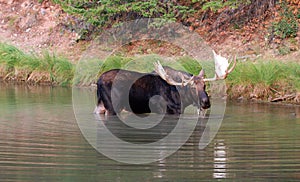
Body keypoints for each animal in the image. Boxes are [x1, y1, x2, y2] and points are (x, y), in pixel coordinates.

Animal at [94, 50, 237, 115]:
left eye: (205, 85)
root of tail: (98, 81)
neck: (182, 98)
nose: (205, 102)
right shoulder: (167, 111)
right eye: (192, 87)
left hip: (100, 106)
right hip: (113, 107)